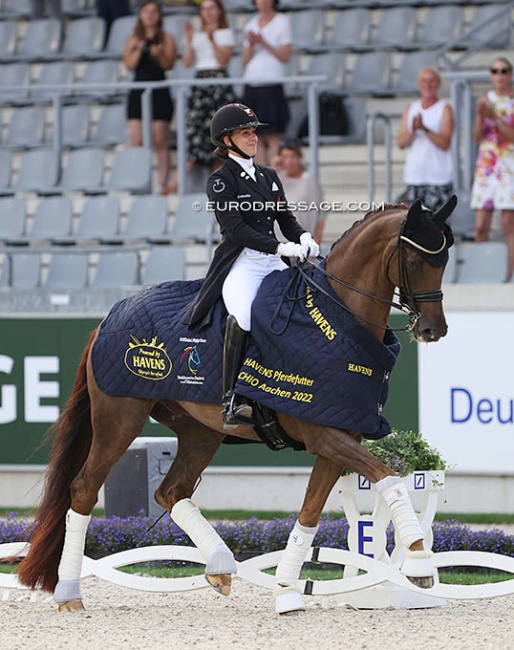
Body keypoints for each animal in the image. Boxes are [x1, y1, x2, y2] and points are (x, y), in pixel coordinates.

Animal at [18, 197, 454, 612]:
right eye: (414, 261)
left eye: (444, 261)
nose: (433, 329)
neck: (337, 320)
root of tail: (108, 318)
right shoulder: (324, 435)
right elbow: (389, 478)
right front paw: (419, 563)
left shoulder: (341, 435)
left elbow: (311, 514)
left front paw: (286, 592)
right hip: (119, 419)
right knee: (83, 490)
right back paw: (70, 593)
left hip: (199, 430)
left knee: (171, 492)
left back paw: (220, 564)